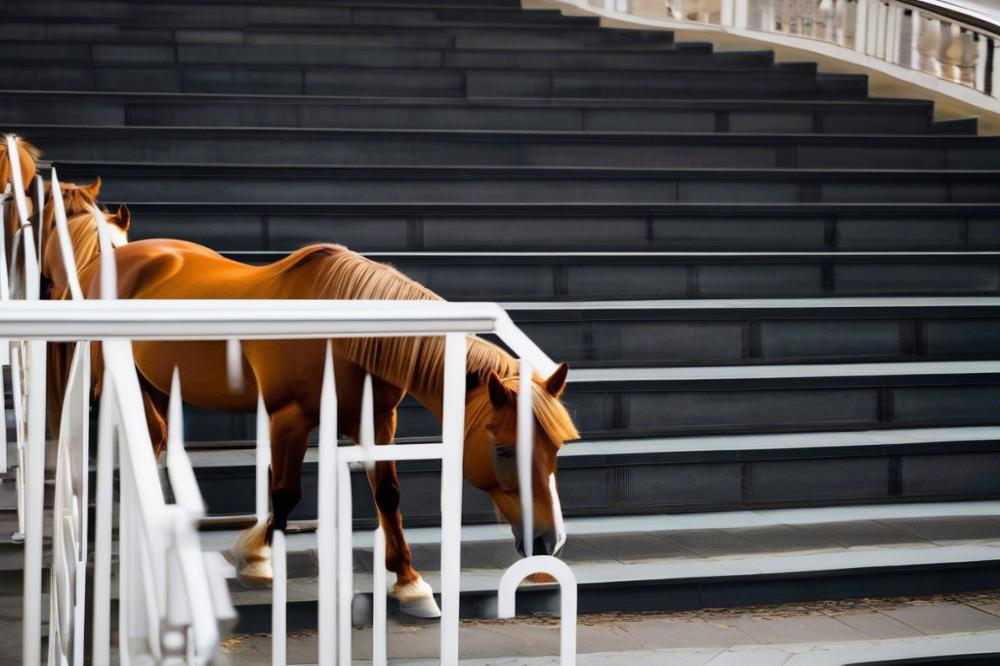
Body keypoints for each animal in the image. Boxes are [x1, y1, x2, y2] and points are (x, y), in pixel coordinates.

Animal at [43, 220, 584, 616]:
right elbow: (285, 493)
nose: (548, 540)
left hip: (151, 377)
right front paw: (256, 559)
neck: (343, 328)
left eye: (555, 448)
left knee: (155, 436)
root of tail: (113, 257)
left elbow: (388, 495)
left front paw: (410, 583)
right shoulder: (291, 419)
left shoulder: (377, 420)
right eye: (503, 448)